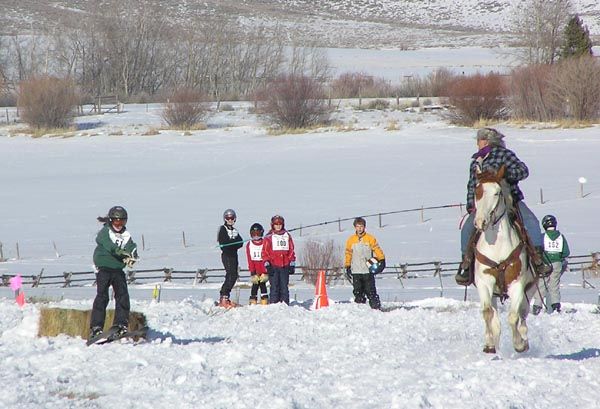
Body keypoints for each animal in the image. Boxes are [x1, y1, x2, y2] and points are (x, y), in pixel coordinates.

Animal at [474, 166, 536, 354]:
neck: (497, 246)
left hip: (530, 289)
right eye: (477, 191)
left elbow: (513, 316)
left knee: (523, 314)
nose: (481, 222)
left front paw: (519, 343)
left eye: (497, 192)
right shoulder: (484, 282)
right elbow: (487, 313)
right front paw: (489, 344)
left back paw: (524, 339)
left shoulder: (517, 284)